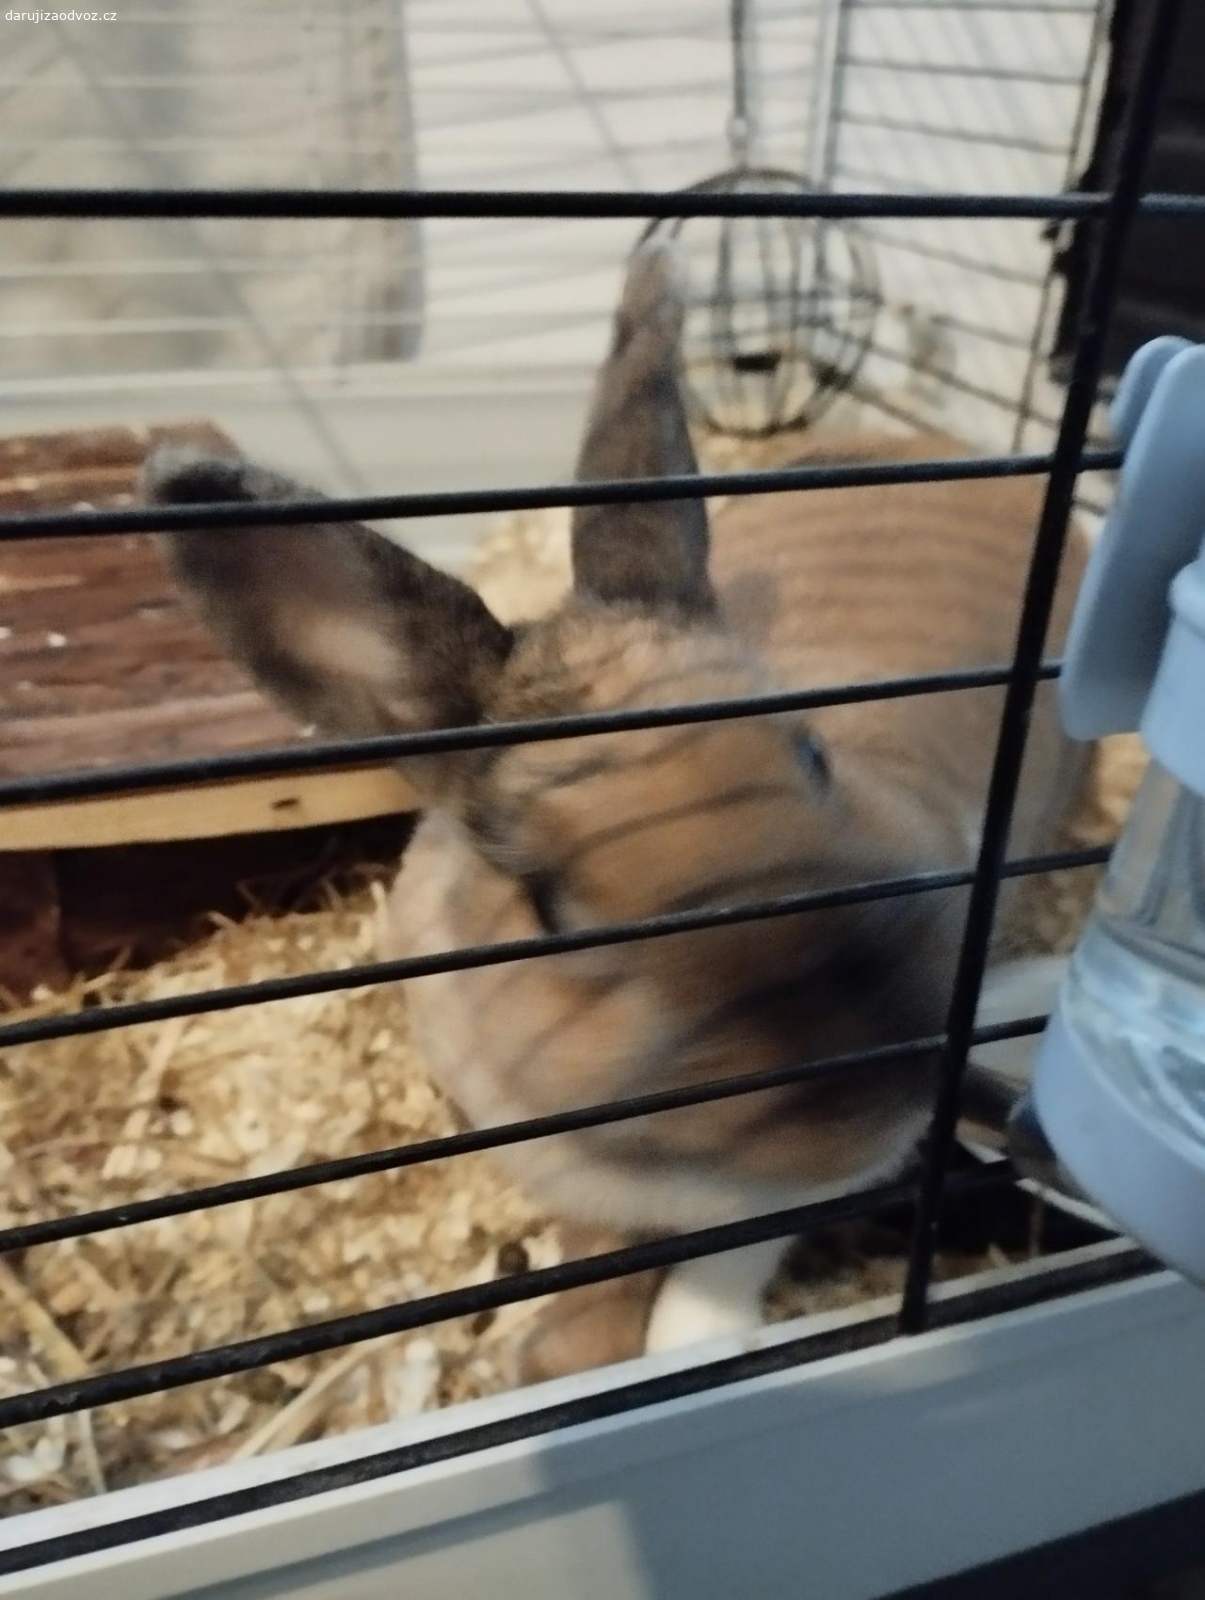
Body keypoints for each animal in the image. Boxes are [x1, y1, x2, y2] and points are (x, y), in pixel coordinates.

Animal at [144, 239, 1089, 1383]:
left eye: (812, 755)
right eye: (553, 909)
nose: (866, 1076)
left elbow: (723, 1256)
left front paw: (677, 1345)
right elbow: (593, 1257)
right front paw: (566, 1353)